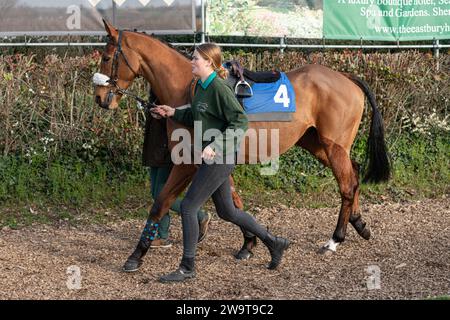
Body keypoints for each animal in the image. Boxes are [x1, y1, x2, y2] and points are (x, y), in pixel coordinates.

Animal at [94, 18, 390, 266]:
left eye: (107, 57)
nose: (99, 98)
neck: (190, 88)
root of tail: (345, 77)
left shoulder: (189, 162)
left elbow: (161, 202)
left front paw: (136, 254)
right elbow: (233, 203)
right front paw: (249, 242)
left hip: (332, 144)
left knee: (347, 185)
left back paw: (335, 239)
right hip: (316, 143)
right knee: (354, 171)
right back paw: (359, 223)